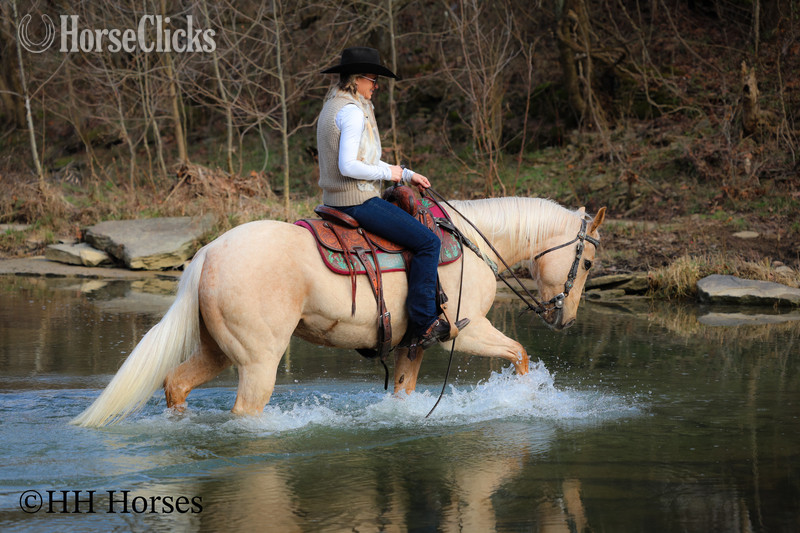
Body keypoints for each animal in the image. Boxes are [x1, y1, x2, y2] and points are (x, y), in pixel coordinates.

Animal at [71, 197, 606, 427]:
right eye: (589, 262)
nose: (565, 319)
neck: (472, 246)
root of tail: (207, 252)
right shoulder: (464, 333)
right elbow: (520, 354)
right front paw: (526, 399)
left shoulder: (415, 343)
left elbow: (404, 394)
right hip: (258, 361)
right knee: (244, 411)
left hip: (218, 350)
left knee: (176, 385)